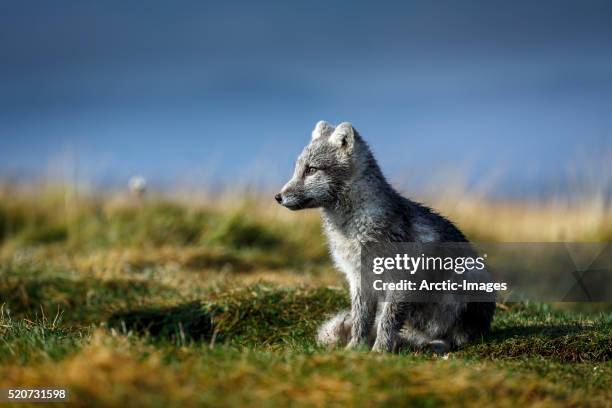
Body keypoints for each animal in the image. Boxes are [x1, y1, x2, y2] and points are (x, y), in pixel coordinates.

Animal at [274, 121, 494, 354]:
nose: (278, 197)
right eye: (297, 168)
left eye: (311, 169)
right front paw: (354, 348)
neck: (354, 229)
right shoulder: (359, 279)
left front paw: (379, 352)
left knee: (455, 338)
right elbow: (362, 320)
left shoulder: (399, 280)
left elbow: (387, 322)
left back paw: (434, 344)